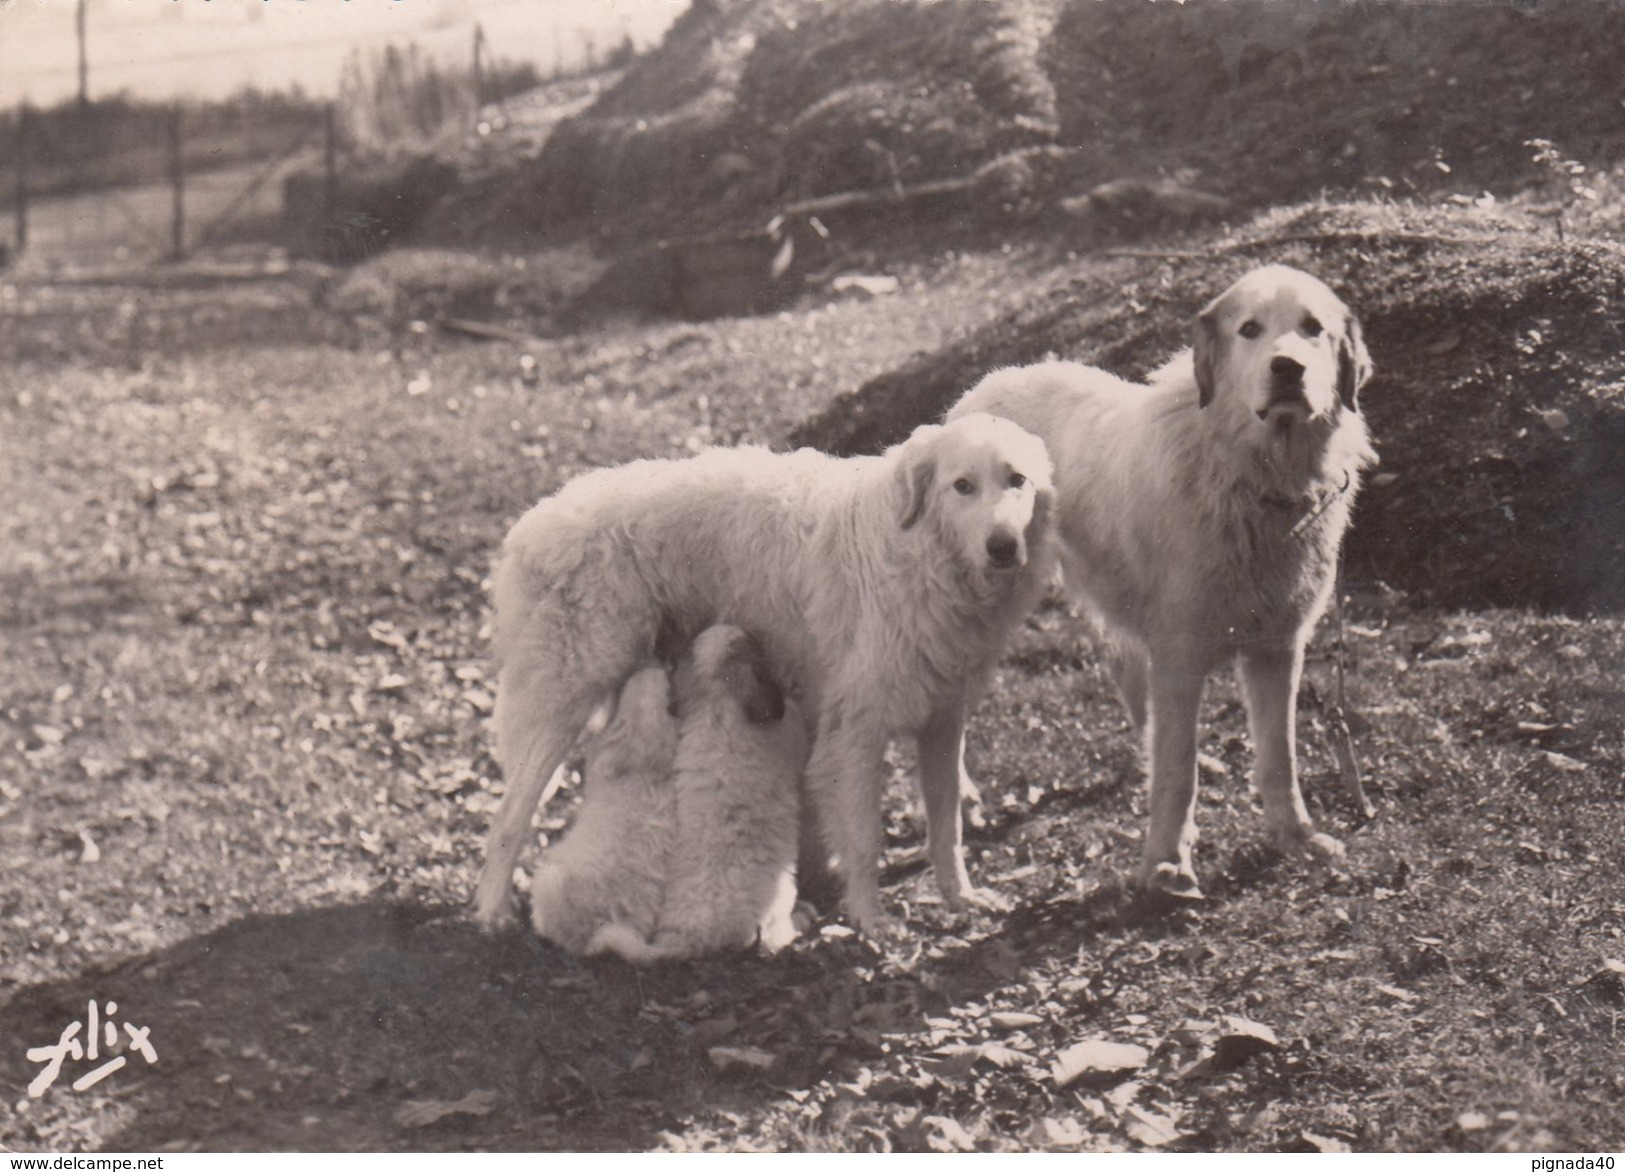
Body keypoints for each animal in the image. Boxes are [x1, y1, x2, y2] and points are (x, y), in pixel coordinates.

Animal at [474, 416, 1053, 936]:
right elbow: (865, 837)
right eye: (962, 486)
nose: (1003, 547)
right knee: (507, 817)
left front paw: (962, 897)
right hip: (565, 701)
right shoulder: (856, 732)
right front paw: (871, 920)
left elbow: (946, 828)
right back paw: (493, 910)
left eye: (1016, 479)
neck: (920, 553)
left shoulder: (943, 720)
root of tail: (532, 525)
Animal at [949, 268, 1384, 897]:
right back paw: (959, 797)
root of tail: (986, 387)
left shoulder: (1277, 648)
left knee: (1126, 669)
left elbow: (1279, 755)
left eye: (1312, 328)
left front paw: (1296, 836)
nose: (1288, 368)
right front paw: (1166, 862)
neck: (1248, 474)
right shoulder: (1181, 654)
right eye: (1250, 330)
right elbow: (1177, 771)